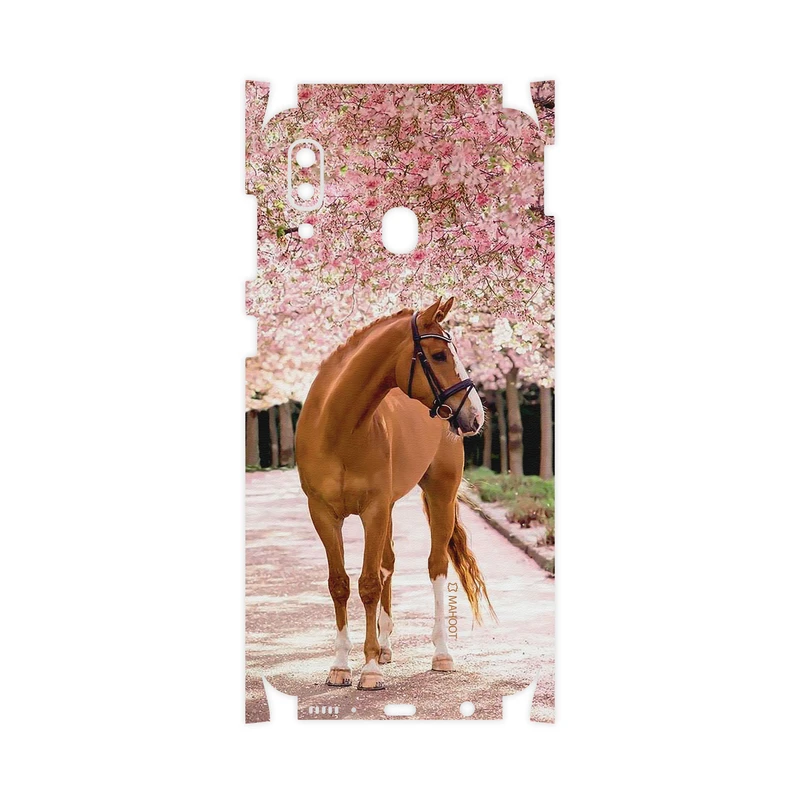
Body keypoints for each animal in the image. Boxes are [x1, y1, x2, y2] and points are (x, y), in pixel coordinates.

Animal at [295, 297, 494, 690]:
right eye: (438, 354)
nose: (476, 416)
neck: (338, 428)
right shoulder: (324, 513)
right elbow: (340, 584)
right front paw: (341, 666)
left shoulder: (372, 510)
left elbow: (369, 584)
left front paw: (369, 670)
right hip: (387, 508)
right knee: (388, 563)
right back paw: (385, 647)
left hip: (439, 494)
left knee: (435, 566)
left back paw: (441, 654)